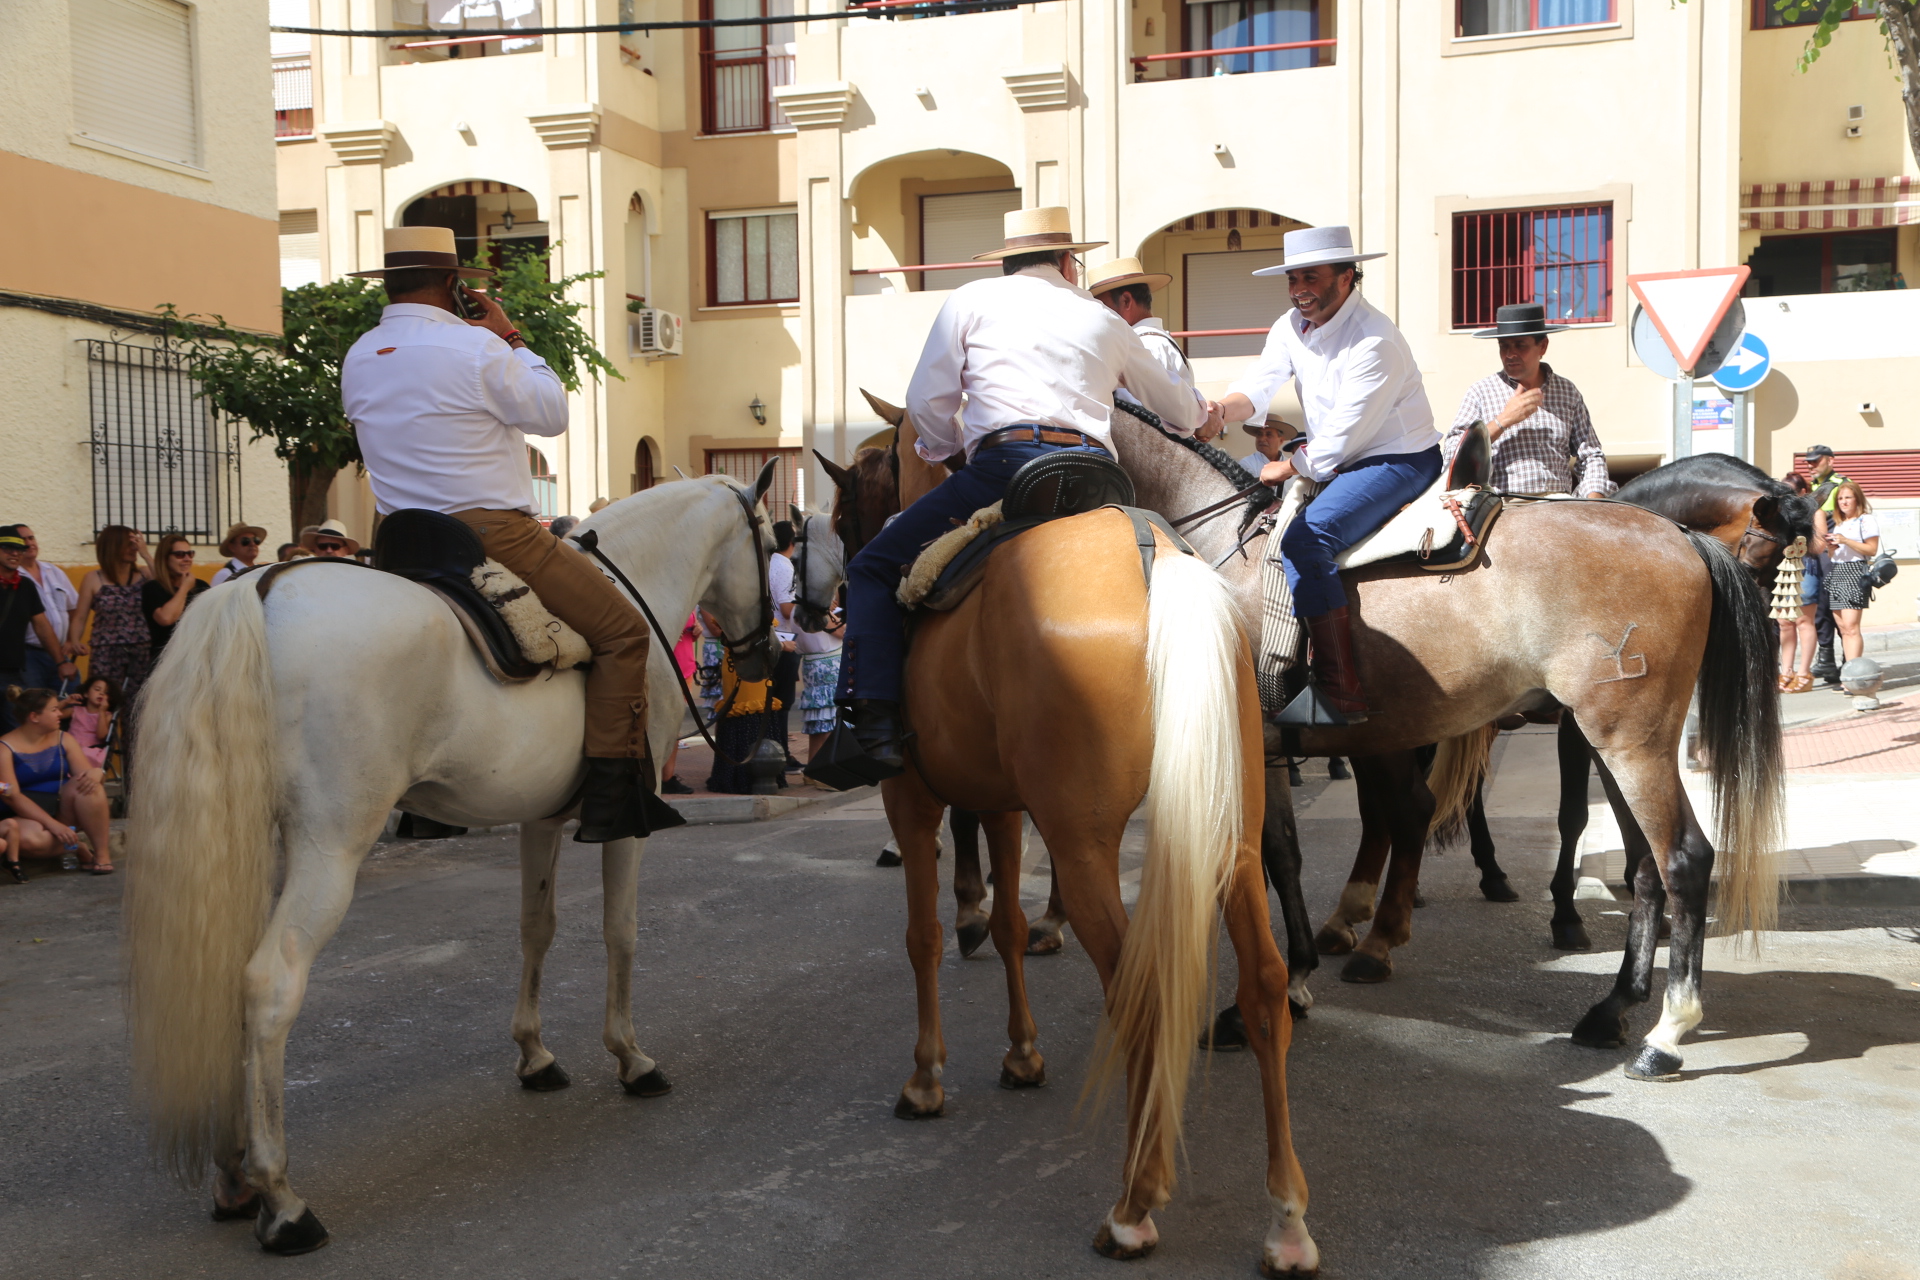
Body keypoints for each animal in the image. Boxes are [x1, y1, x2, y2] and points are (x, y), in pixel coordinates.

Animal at [125, 470, 779, 1251]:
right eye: (771, 539)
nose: (767, 656)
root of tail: (254, 591)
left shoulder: (539, 816)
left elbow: (537, 929)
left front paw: (535, 1055)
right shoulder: (625, 825)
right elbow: (620, 932)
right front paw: (630, 1057)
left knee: (229, 977)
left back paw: (231, 1176)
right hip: (329, 847)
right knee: (269, 984)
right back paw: (281, 1199)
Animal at [875, 506, 1313, 1274]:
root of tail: (1155, 554)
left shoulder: (911, 798)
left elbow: (922, 938)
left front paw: (926, 1077)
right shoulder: (1004, 805)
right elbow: (1009, 927)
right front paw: (1021, 1054)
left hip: (1083, 853)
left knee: (1143, 998)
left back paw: (1133, 1207)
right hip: (1231, 837)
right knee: (1264, 989)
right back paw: (1286, 1220)